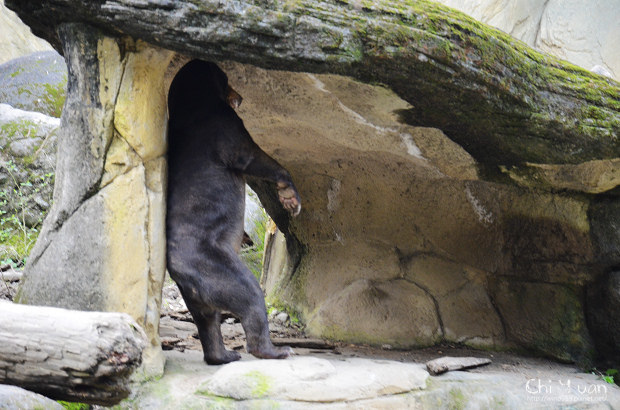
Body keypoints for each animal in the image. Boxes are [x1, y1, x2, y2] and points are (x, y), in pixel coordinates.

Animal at [165, 59, 300, 364]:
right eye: (227, 80)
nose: (239, 96)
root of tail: (180, 272)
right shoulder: (223, 127)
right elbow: (251, 156)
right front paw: (290, 196)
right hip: (215, 265)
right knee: (250, 296)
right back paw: (276, 349)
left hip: (198, 292)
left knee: (207, 321)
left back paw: (223, 355)